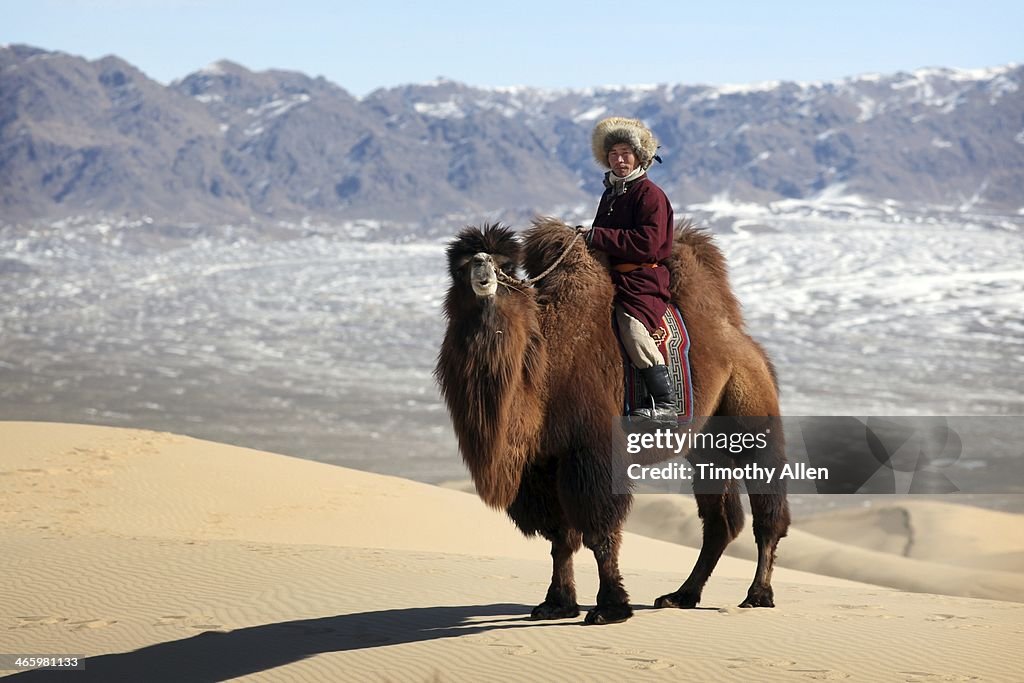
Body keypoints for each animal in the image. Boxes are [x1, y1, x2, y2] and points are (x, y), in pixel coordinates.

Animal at [434, 218, 790, 626]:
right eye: (459, 266)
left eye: (506, 265)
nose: (481, 267)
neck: (544, 367)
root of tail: (745, 343)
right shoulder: (542, 464)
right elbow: (559, 537)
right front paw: (556, 604)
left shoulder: (591, 451)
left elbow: (600, 531)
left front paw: (610, 607)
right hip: (705, 444)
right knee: (721, 522)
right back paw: (681, 596)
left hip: (752, 414)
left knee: (767, 511)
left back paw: (758, 595)